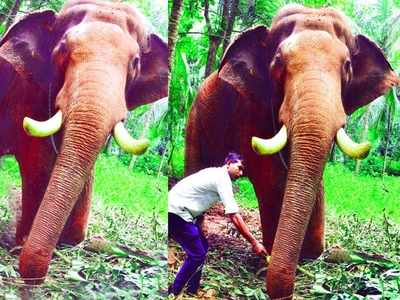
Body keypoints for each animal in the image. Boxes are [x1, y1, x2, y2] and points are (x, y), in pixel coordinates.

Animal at [0, 0, 167, 284]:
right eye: (62, 50)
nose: (32, 279)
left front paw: (69, 241)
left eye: (135, 62)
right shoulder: (29, 93)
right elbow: (39, 163)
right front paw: (22, 242)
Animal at [185, 3, 400, 298]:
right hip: (195, 117)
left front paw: (311, 254)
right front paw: (270, 257)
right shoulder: (252, 107)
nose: (287, 291)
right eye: (277, 63)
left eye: (347, 66)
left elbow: (313, 180)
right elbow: (271, 179)